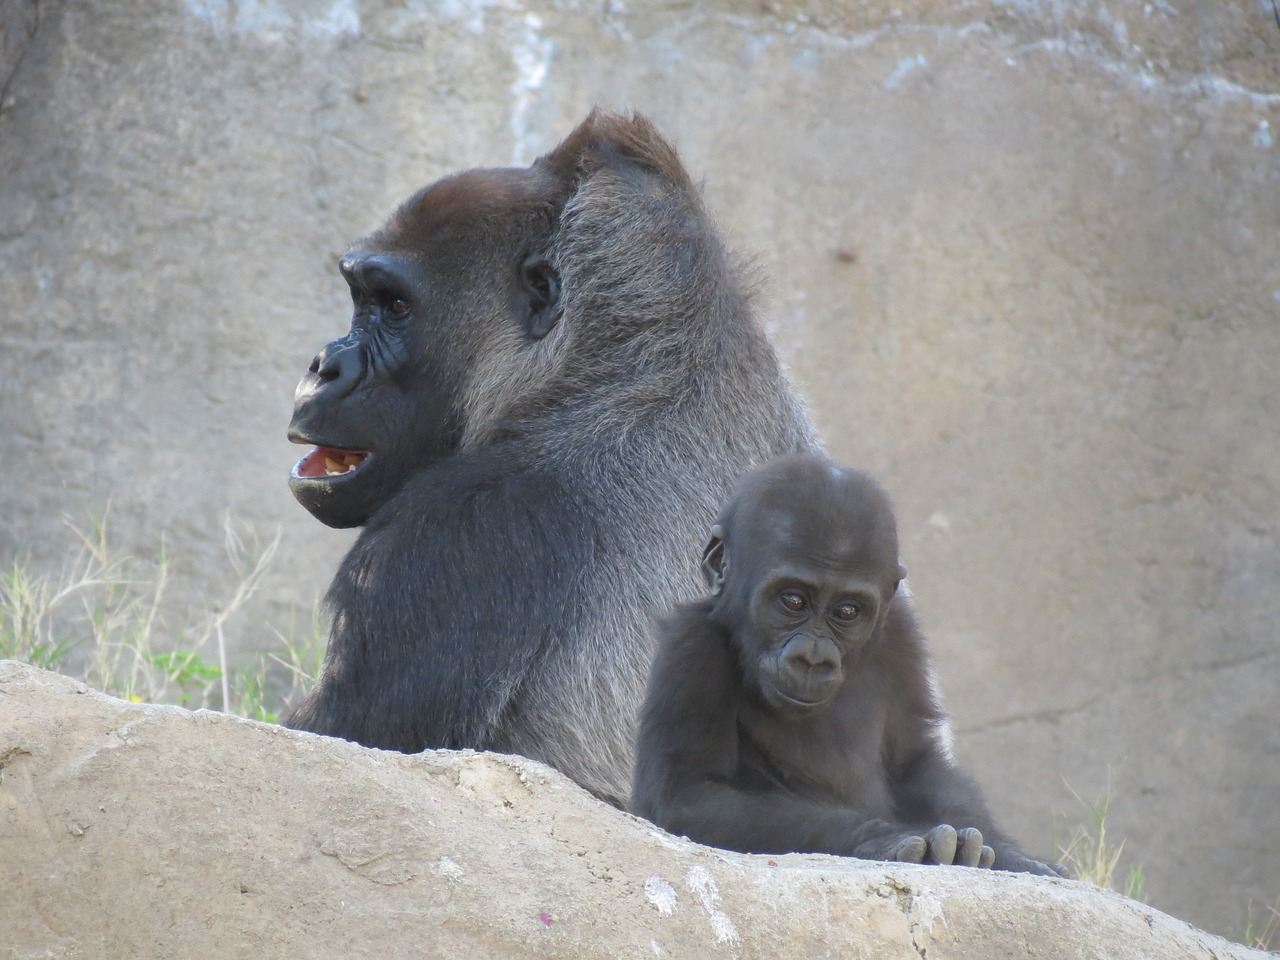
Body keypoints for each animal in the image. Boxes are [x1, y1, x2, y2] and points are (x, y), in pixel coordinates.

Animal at [629, 455, 1059, 875]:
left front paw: (1008, 853)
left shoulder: (901, 627)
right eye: (792, 600)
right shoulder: (690, 644)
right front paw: (879, 836)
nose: (812, 659)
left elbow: (914, 760)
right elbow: (688, 792)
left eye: (847, 611)